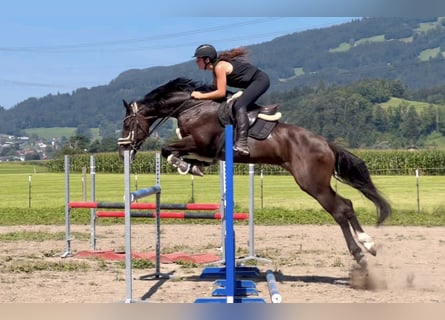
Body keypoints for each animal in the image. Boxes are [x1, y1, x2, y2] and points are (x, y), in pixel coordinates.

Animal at [117, 78, 388, 268]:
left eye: (128, 123)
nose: (123, 153)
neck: (191, 106)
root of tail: (327, 144)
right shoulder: (207, 150)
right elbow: (184, 155)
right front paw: (193, 166)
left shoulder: (200, 143)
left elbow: (166, 149)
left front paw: (183, 165)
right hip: (318, 183)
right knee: (348, 204)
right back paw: (368, 245)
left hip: (312, 183)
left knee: (340, 210)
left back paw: (361, 252)